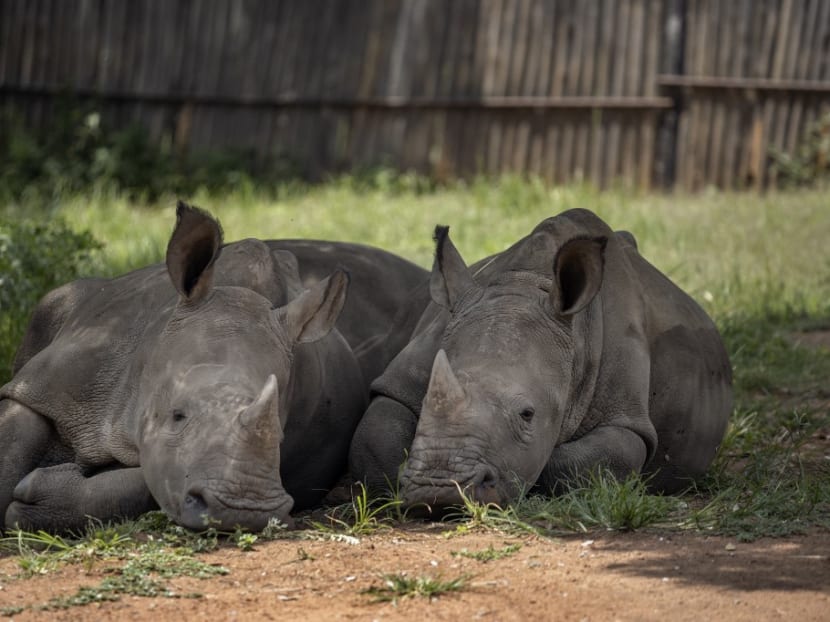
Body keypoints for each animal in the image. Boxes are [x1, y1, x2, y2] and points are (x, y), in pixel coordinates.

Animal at [0, 202, 428, 533]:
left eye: (279, 434)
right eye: (176, 415)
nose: (244, 510)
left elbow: (147, 483)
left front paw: (36, 500)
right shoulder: (57, 381)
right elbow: (13, 440)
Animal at [349, 208, 733, 510]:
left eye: (528, 414)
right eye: (428, 394)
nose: (439, 490)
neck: (526, 283)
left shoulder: (626, 418)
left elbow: (577, 462)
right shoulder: (405, 375)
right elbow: (379, 434)